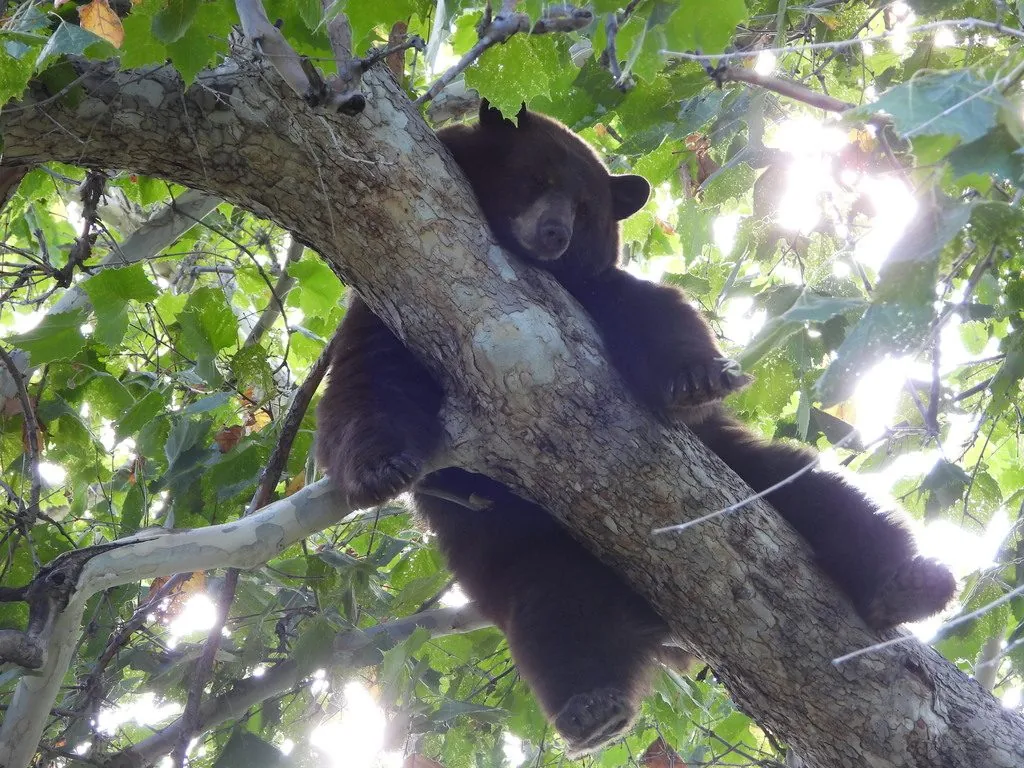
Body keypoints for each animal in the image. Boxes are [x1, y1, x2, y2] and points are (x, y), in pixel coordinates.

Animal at [316, 101, 957, 755]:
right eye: (537, 179)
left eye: (585, 207)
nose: (554, 232)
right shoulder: (386, 302)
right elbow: (368, 384)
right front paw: (380, 468)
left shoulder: (601, 292)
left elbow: (658, 314)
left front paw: (697, 378)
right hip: (518, 550)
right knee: (553, 607)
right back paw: (591, 707)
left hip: (746, 481)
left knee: (816, 495)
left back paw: (907, 581)